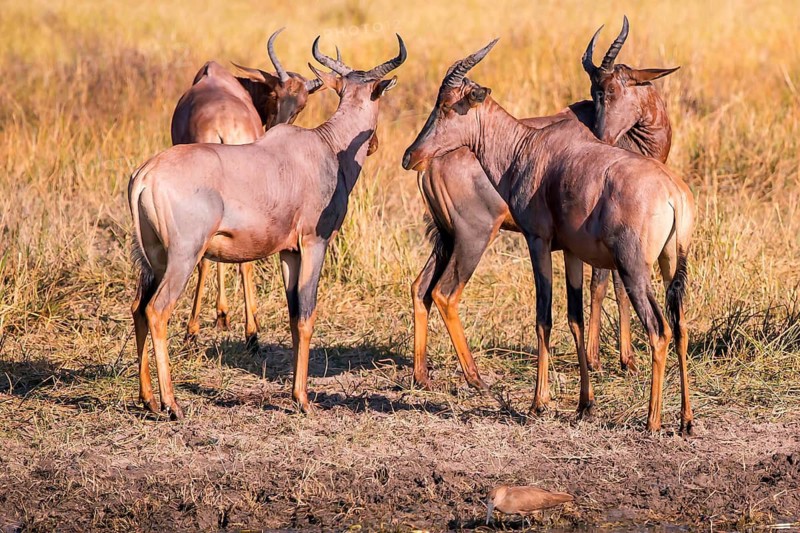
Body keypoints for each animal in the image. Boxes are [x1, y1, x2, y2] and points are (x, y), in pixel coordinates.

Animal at [171, 28, 324, 346]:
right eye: (276, 94)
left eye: (302, 104)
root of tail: (223, 125)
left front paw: (222, 315)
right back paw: (250, 332)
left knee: (211, 258)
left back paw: (202, 330)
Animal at [402, 41, 694, 433]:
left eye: (448, 106)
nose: (409, 156)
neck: (528, 147)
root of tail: (672, 193)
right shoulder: (567, 250)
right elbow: (573, 317)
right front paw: (583, 403)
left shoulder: (541, 242)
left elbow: (549, 315)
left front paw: (541, 402)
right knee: (678, 327)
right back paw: (684, 420)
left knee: (663, 328)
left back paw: (653, 420)